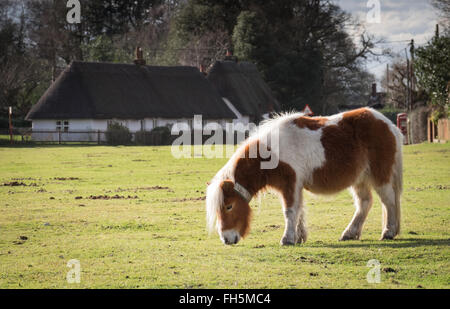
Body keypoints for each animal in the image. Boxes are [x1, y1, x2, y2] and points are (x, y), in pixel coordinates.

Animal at [206, 107, 402, 244]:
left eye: (229, 206)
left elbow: (290, 211)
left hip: (380, 176)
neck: (271, 153)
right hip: (360, 179)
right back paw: (349, 233)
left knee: (389, 201)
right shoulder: (294, 186)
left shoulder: (290, 184)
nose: (226, 239)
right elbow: (298, 210)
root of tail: (389, 125)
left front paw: (287, 239)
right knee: (364, 203)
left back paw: (388, 232)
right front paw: (299, 237)